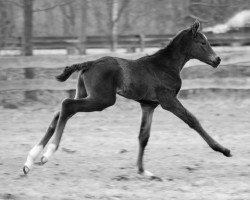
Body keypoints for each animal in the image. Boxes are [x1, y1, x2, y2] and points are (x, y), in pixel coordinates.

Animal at [22, 20, 231, 179]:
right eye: (203, 42)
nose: (217, 60)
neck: (165, 66)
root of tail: (90, 63)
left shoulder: (149, 105)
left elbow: (143, 136)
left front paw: (143, 171)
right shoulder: (168, 101)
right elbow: (193, 120)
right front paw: (223, 149)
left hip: (84, 94)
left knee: (59, 113)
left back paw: (30, 160)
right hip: (102, 99)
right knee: (66, 106)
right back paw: (46, 154)